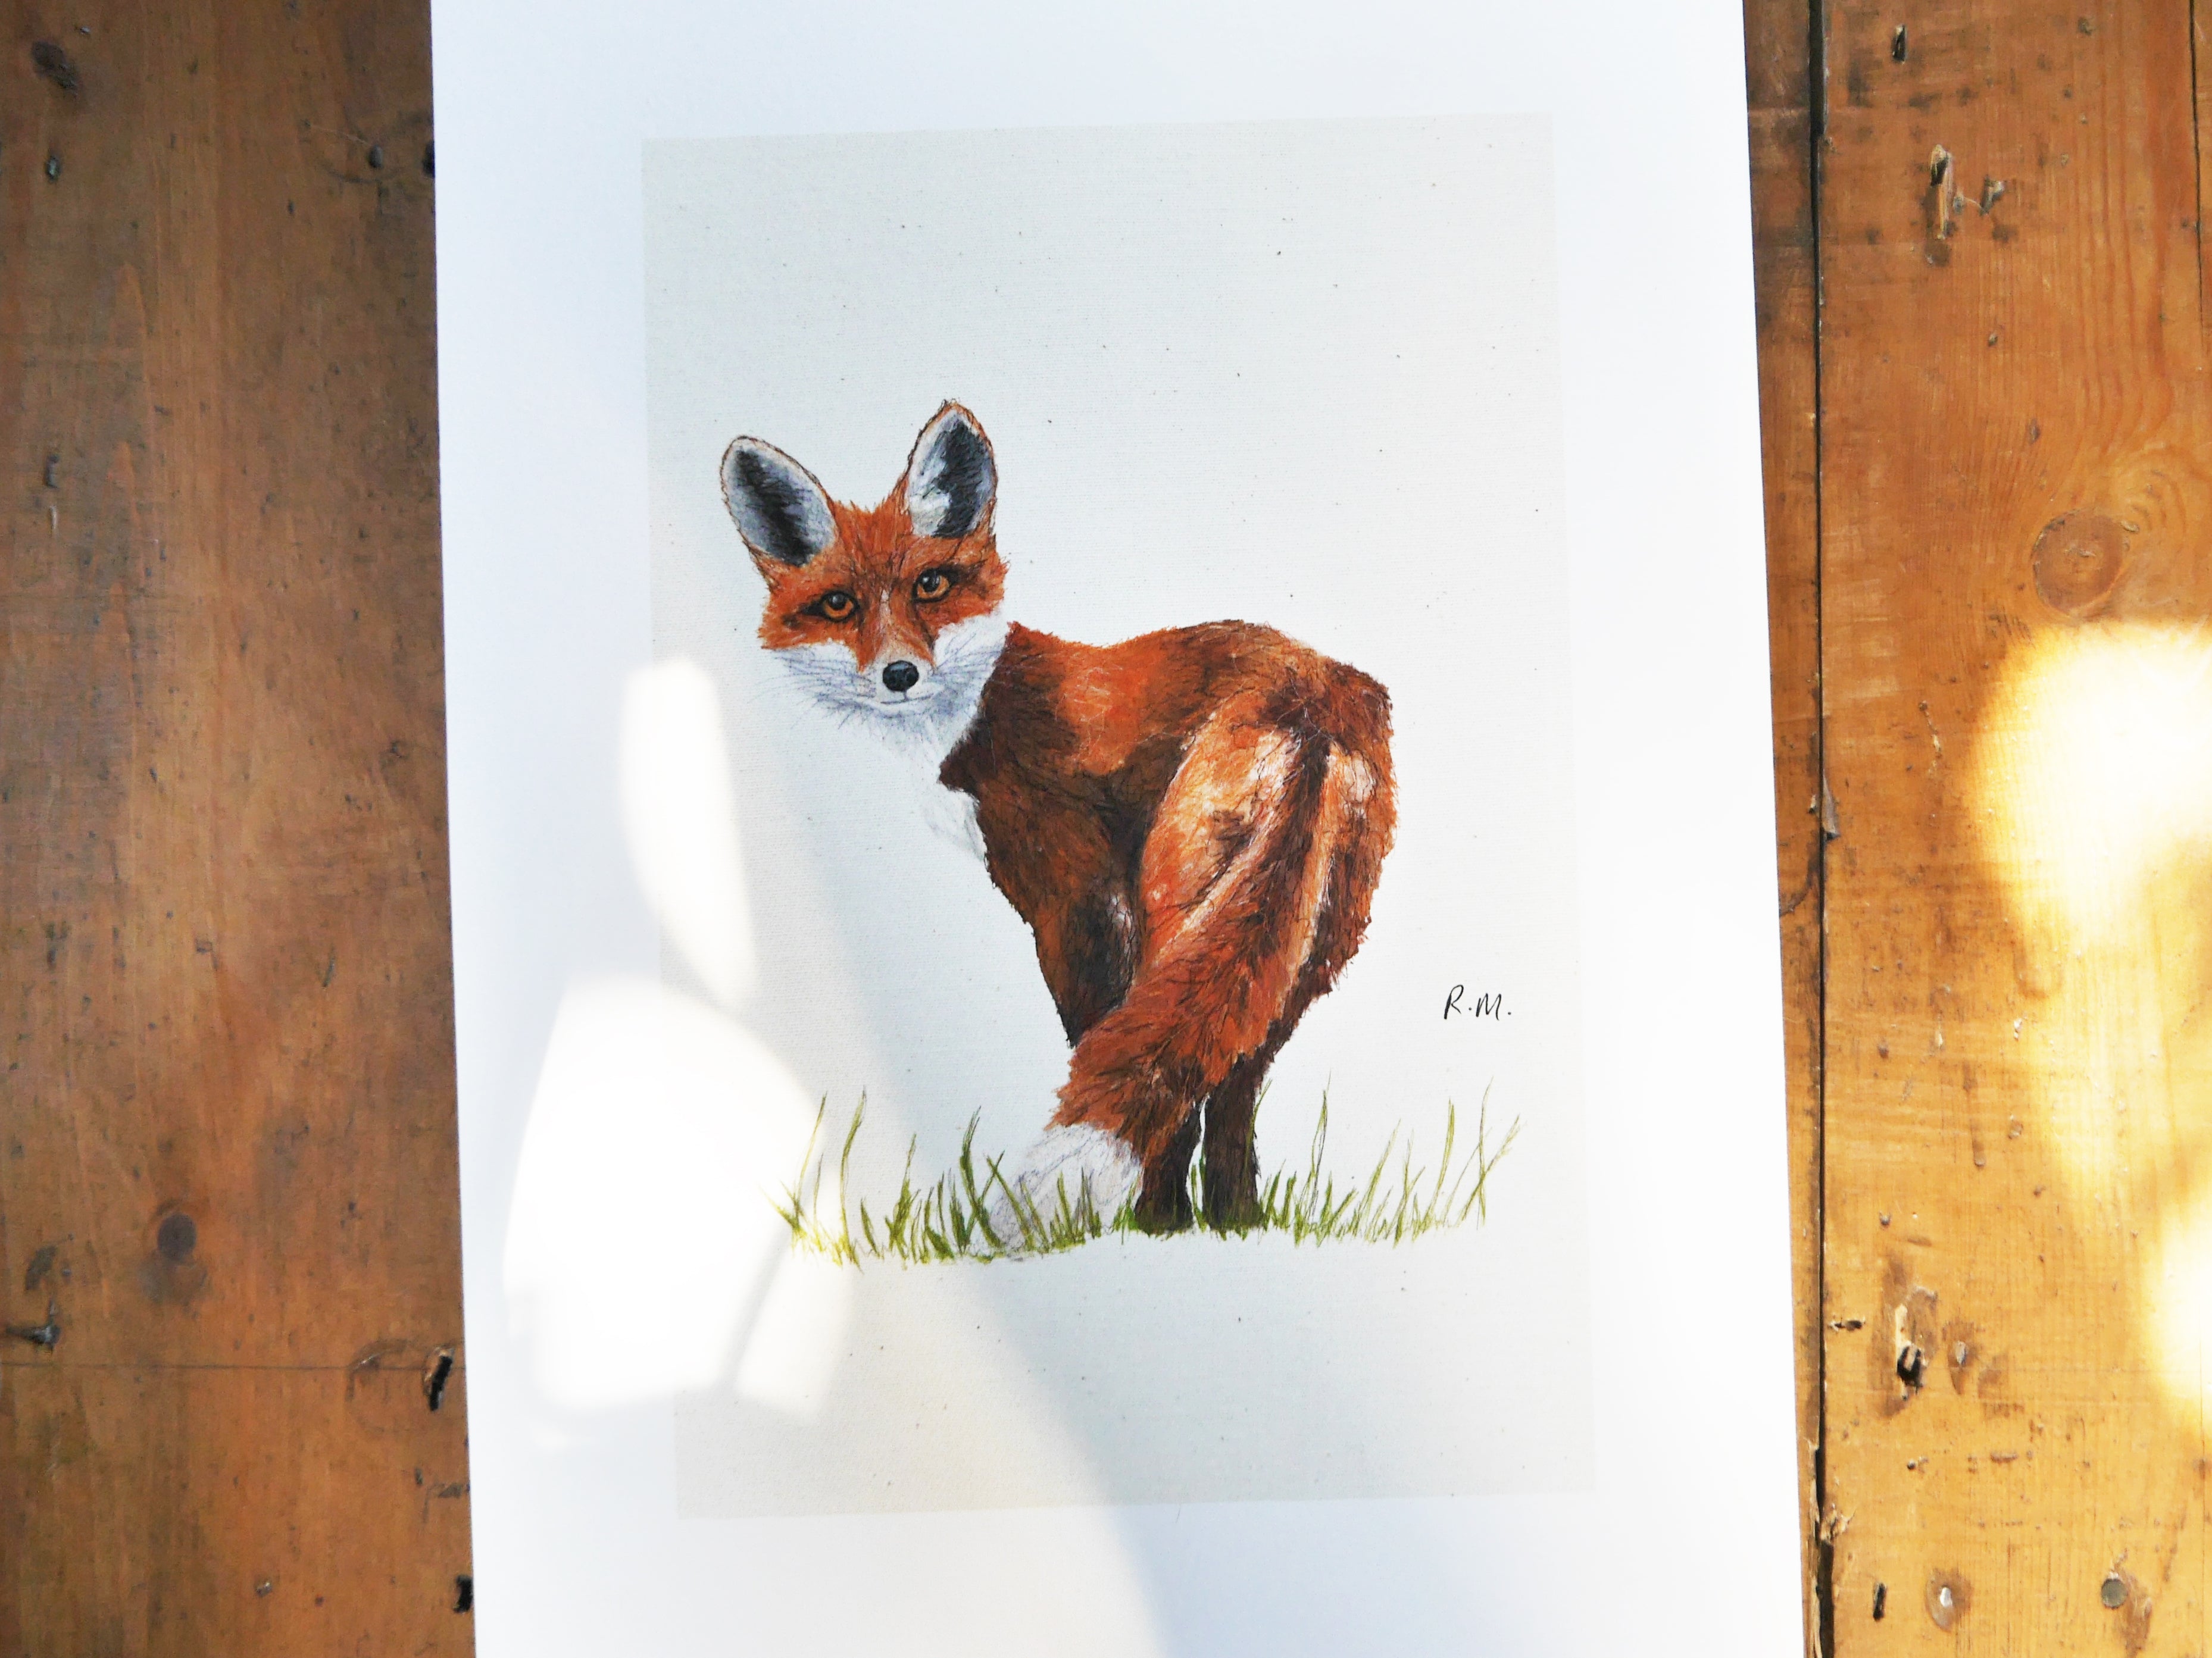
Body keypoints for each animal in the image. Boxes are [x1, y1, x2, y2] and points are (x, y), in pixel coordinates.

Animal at [720, 402, 1395, 1240]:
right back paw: (1229, 1224)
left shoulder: (1075, 902)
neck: (978, 711)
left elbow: (1098, 1045)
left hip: (1178, 907)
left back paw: (1157, 1226)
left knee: (1181, 1089)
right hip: (1306, 941)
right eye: (838, 604)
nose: (899, 675)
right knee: (1232, 1084)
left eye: (930, 584)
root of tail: (1312, 697)